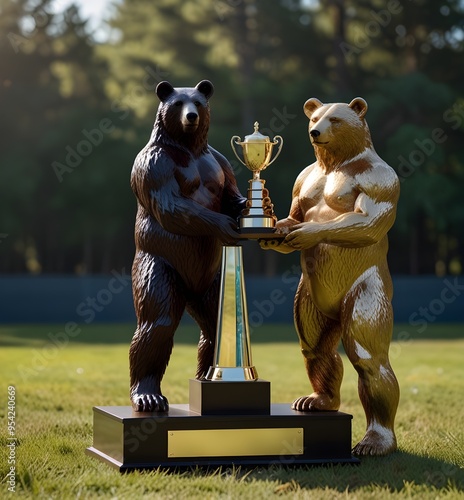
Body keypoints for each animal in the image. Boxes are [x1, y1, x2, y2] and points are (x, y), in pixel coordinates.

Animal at [130, 80, 246, 412]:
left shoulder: (219, 162)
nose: (191, 116)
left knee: (214, 326)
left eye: (198, 102)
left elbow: (229, 191)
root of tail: (192, 290)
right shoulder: (155, 164)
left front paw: (248, 206)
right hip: (162, 268)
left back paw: (207, 375)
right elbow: (171, 204)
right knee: (156, 324)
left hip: (213, 281)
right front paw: (225, 223)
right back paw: (148, 395)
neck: (188, 148)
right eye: (178, 103)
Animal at [262, 97, 400, 458]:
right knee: (316, 348)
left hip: (364, 294)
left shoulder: (380, 180)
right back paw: (319, 399)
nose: (315, 132)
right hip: (311, 300)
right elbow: (296, 210)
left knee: (370, 360)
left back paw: (375, 441)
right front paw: (276, 230)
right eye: (315, 117)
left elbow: (365, 220)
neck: (336, 163)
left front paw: (307, 232)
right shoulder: (303, 179)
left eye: (335, 119)